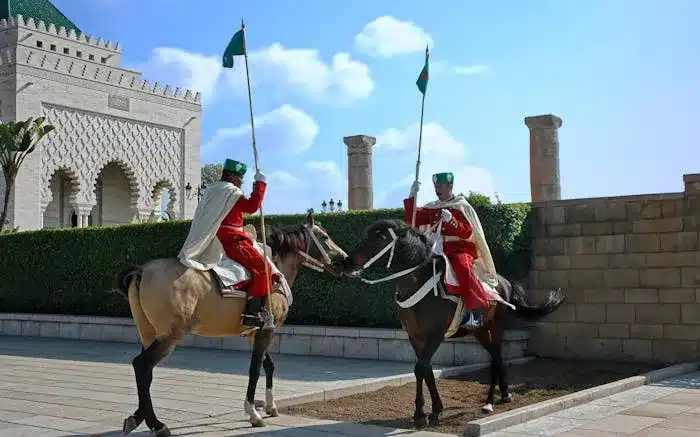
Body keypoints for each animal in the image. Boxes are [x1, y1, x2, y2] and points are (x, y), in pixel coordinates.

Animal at [111, 211, 348, 432]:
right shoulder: (266, 332)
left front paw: (270, 406)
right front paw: (253, 413)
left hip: (149, 333)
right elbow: (255, 369)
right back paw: (157, 424)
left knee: (146, 371)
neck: (274, 267)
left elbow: (268, 365)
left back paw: (139, 417)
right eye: (325, 237)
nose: (344, 260)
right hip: (170, 336)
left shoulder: (257, 332)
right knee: (141, 365)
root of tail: (142, 270)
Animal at [342, 220, 568, 428]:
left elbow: (420, 369)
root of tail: (504, 282)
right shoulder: (415, 336)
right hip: (481, 331)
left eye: (380, 237)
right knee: (498, 358)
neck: (416, 282)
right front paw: (430, 411)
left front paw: (424, 414)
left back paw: (489, 402)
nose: (348, 261)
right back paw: (504, 395)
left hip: (494, 327)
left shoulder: (435, 334)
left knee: (495, 359)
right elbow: (425, 370)